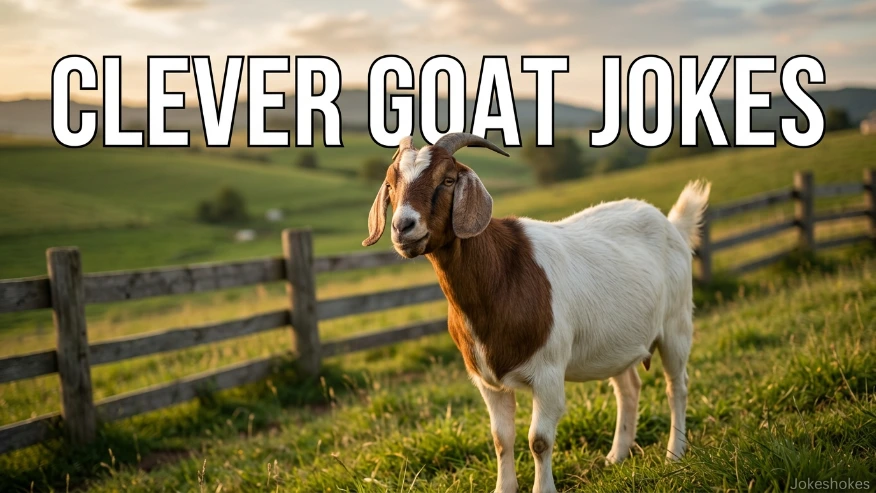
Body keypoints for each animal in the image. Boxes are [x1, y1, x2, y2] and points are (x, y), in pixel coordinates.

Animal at [362, 132, 710, 493]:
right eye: (390, 185)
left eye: (447, 179)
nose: (403, 226)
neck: (500, 276)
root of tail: (672, 224)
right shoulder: (487, 382)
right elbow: (501, 438)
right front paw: (503, 488)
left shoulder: (548, 372)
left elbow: (539, 440)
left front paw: (543, 488)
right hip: (615, 341)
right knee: (628, 388)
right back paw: (617, 455)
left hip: (676, 325)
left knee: (676, 386)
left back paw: (674, 453)